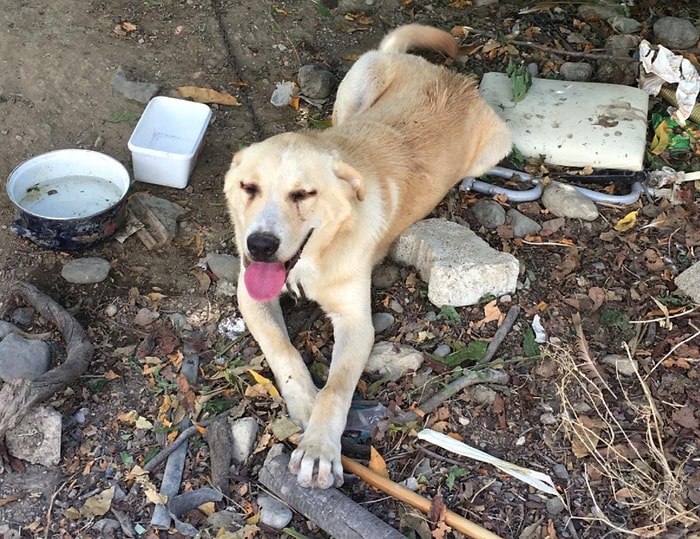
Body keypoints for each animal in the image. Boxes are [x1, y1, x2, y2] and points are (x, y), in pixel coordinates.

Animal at [223, 24, 508, 490]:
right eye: (249, 187)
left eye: (303, 194)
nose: (259, 245)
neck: (314, 259)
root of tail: (451, 77)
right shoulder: (251, 295)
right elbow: (283, 351)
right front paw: (304, 402)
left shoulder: (357, 322)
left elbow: (338, 387)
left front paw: (319, 447)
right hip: (358, 81)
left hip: (498, 144)